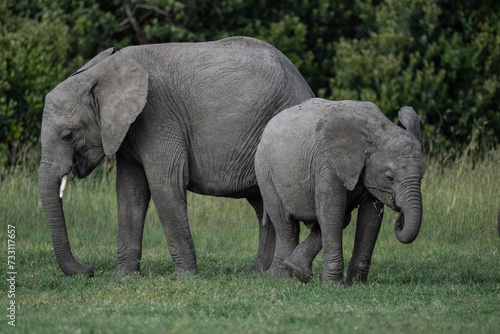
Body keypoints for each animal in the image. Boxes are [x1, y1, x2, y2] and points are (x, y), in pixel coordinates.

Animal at [39, 36, 314, 276]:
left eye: (67, 136)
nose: (90, 270)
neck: (102, 72)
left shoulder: (158, 115)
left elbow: (165, 184)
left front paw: (187, 277)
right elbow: (130, 192)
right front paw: (123, 276)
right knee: (262, 204)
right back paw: (255, 273)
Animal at [256, 98, 424, 284]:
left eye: (423, 174)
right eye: (389, 177)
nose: (399, 219)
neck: (377, 129)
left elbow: (371, 218)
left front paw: (357, 285)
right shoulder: (327, 164)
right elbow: (331, 211)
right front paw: (333, 285)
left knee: (340, 218)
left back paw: (294, 271)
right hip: (265, 171)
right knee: (284, 221)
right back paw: (283, 278)